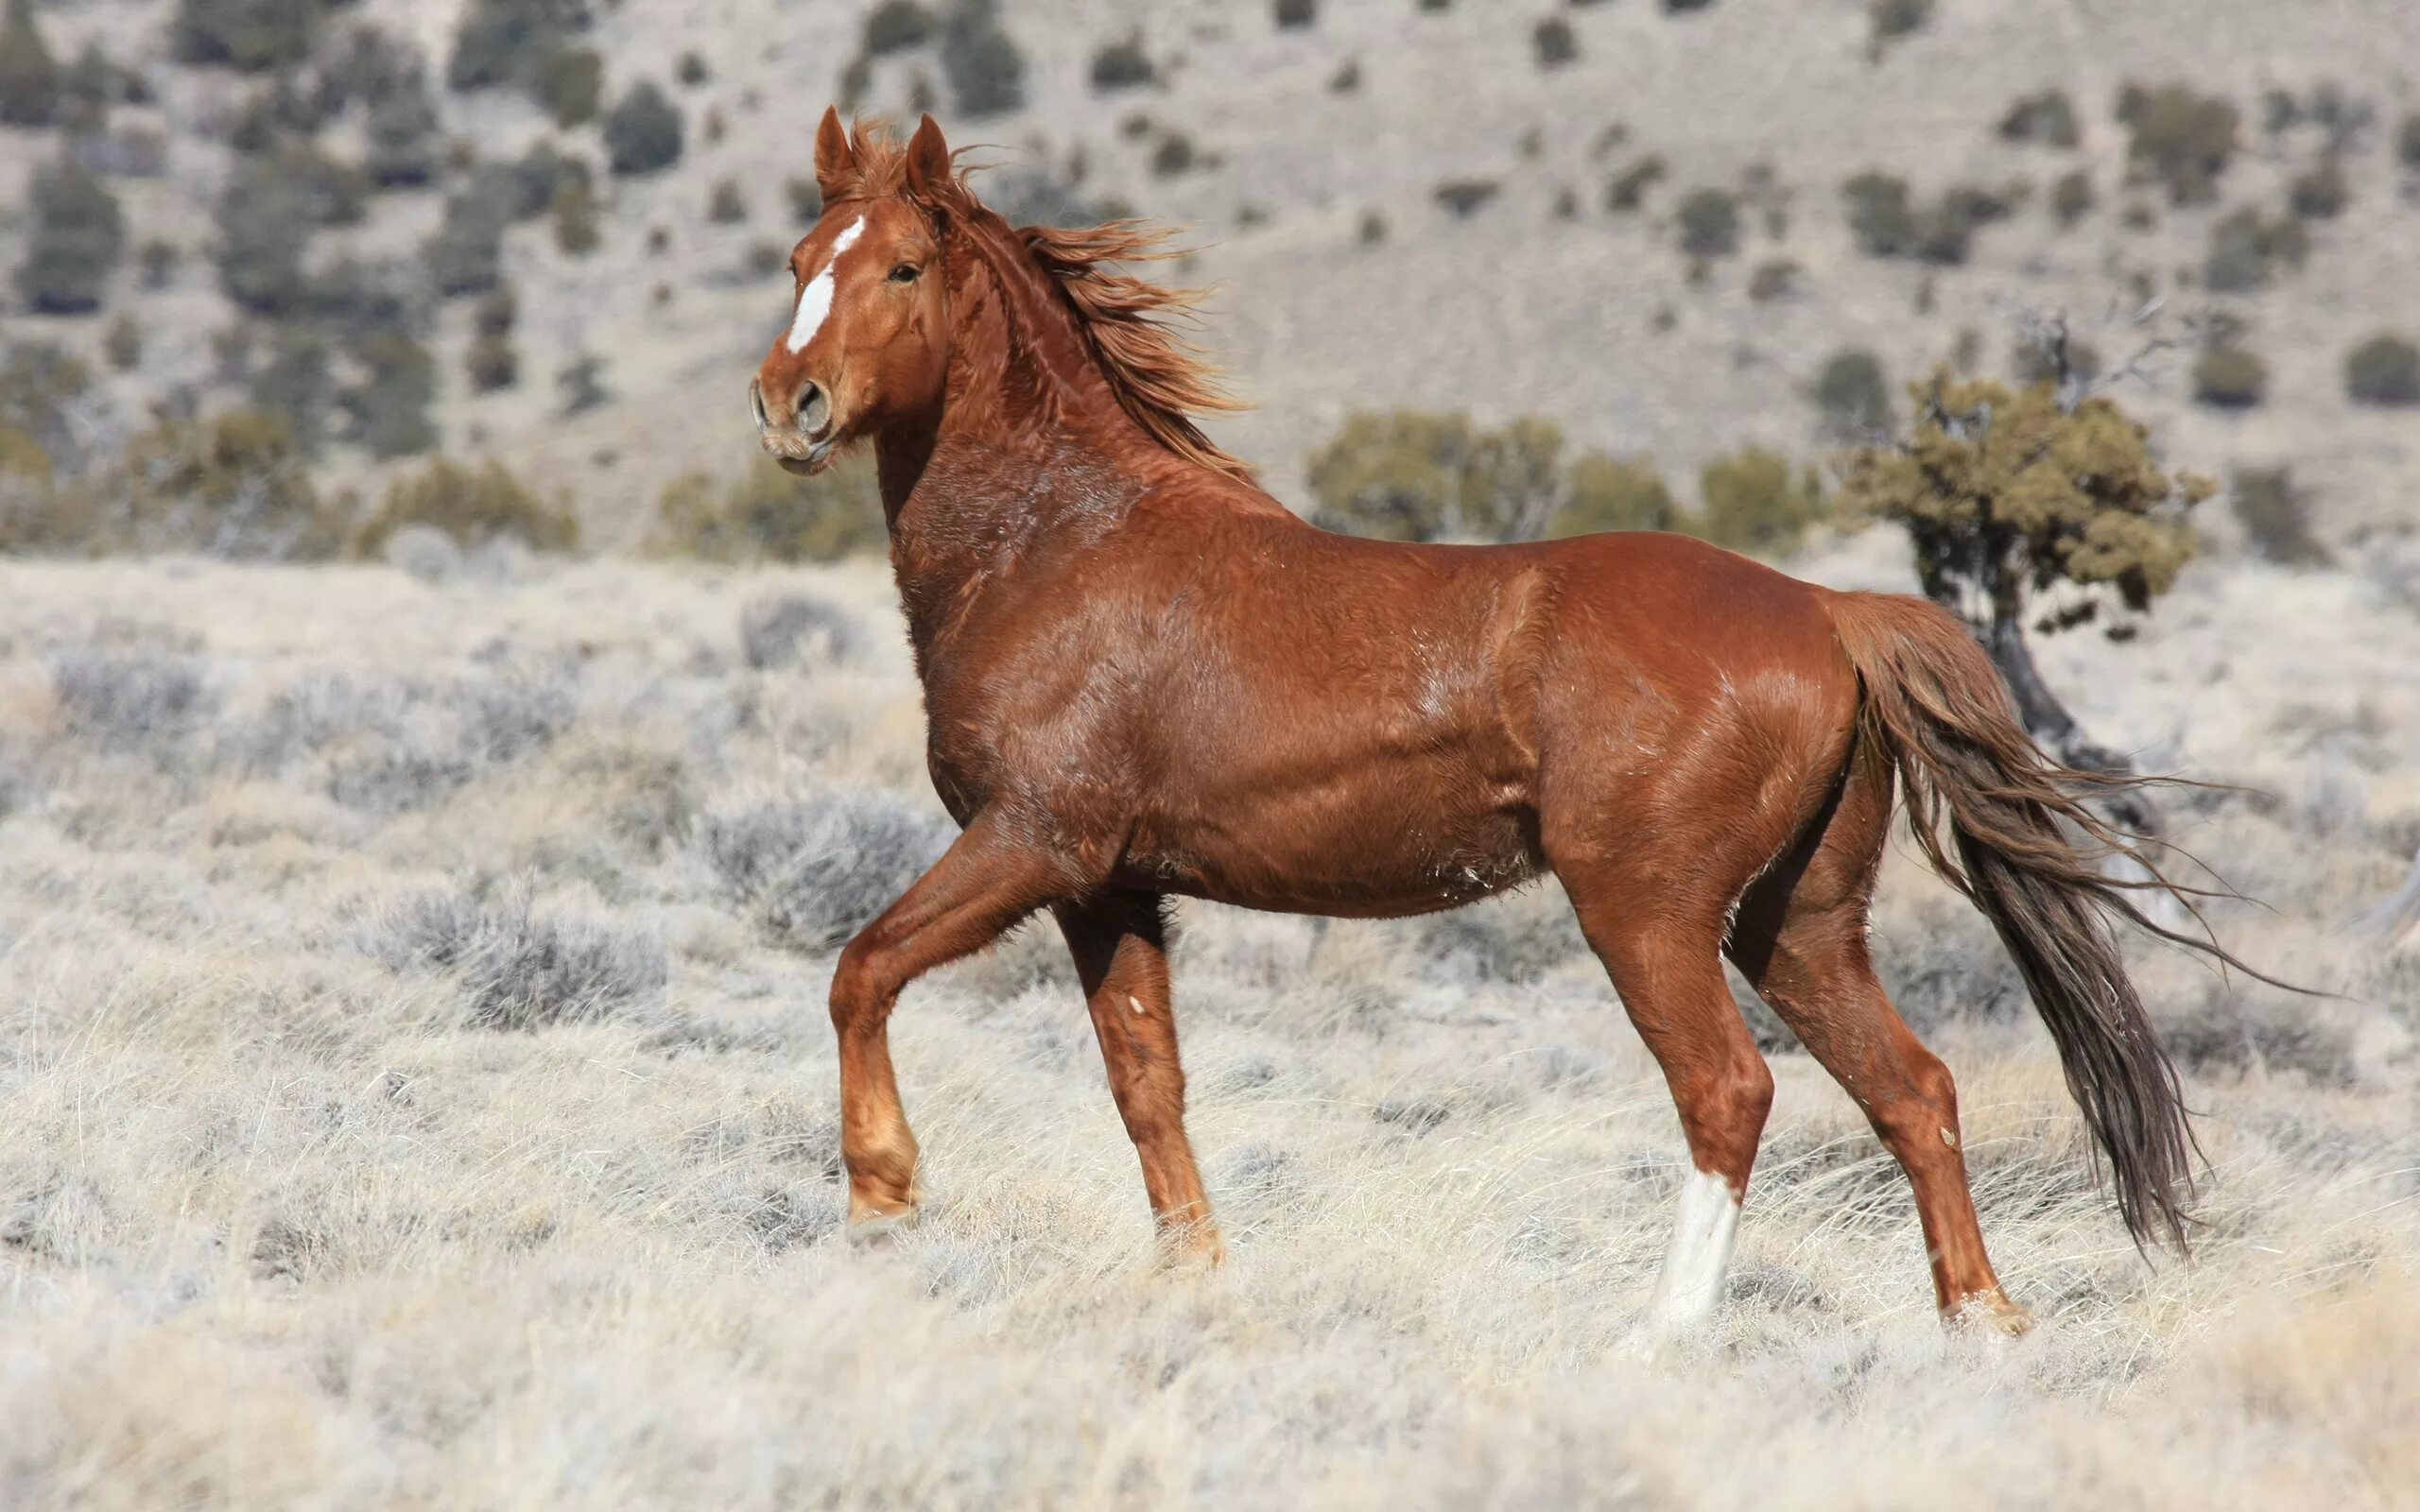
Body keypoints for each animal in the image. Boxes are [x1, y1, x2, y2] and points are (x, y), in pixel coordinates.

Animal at [745, 112, 2216, 1325]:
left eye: (902, 269)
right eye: (801, 254)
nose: (786, 404)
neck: (1063, 544)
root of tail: (1825, 608)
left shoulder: (1034, 841)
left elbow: (860, 968)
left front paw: (881, 1203)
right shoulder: (1111, 887)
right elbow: (1146, 1084)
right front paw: (1194, 1275)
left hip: (1647, 911)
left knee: (1730, 1091)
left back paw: (1665, 1334)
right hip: (1794, 923)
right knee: (1913, 1089)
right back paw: (1984, 1324)